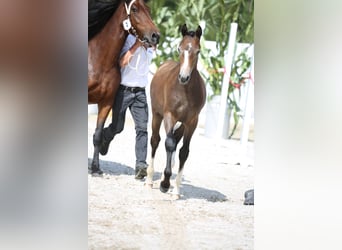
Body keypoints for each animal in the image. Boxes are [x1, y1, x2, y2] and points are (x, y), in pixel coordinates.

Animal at [87, 0, 159, 176]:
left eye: (149, 10)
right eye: (135, 9)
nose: (156, 36)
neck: (99, 61)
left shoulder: (106, 102)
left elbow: (98, 135)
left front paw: (96, 168)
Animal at [145, 23, 204, 197]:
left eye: (198, 51)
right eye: (179, 48)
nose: (183, 77)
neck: (184, 91)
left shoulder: (192, 122)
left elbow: (184, 151)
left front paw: (176, 189)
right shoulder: (169, 115)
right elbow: (169, 144)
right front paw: (165, 183)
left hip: (182, 123)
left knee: (176, 142)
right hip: (157, 115)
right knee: (156, 140)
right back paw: (149, 179)